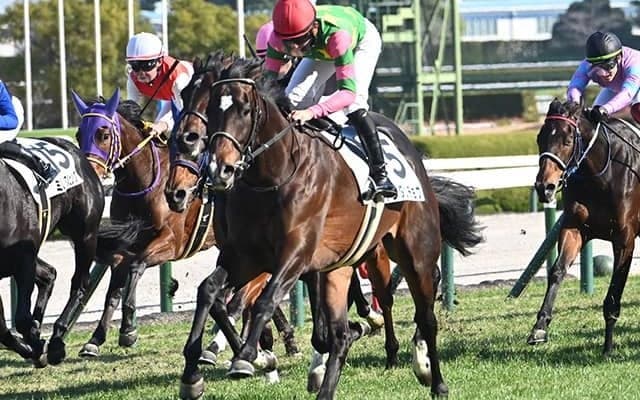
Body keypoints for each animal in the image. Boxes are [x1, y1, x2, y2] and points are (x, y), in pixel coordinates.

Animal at [0, 135, 104, 366]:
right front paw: (31, 346)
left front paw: (38, 344)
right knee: (49, 274)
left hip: (85, 235)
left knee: (80, 282)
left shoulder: (24, 261)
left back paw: (57, 340)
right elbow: (2, 328)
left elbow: (21, 319)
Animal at [70, 89, 300, 362]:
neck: (143, 183)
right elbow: (113, 290)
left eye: (104, 134)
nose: (89, 174)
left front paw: (128, 330)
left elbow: (137, 267)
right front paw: (95, 340)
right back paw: (281, 339)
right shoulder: (127, 245)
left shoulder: (172, 243)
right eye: (78, 134)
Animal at [166, 55, 482, 399]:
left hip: (414, 252)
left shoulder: (295, 254)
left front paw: (250, 356)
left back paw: (432, 376)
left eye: (245, 110)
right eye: (205, 104)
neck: (274, 175)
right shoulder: (246, 255)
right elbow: (209, 292)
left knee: (424, 314)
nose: (218, 168)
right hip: (341, 265)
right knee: (343, 332)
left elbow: (264, 300)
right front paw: (192, 373)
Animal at [531, 98, 640, 355]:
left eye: (567, 140)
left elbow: (614, 293)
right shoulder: (574, 229)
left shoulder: (625, 239)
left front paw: (608, 347)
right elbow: (557, 271)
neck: (602, 176)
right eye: (540, 138)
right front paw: (540, 327)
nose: (544, 187)